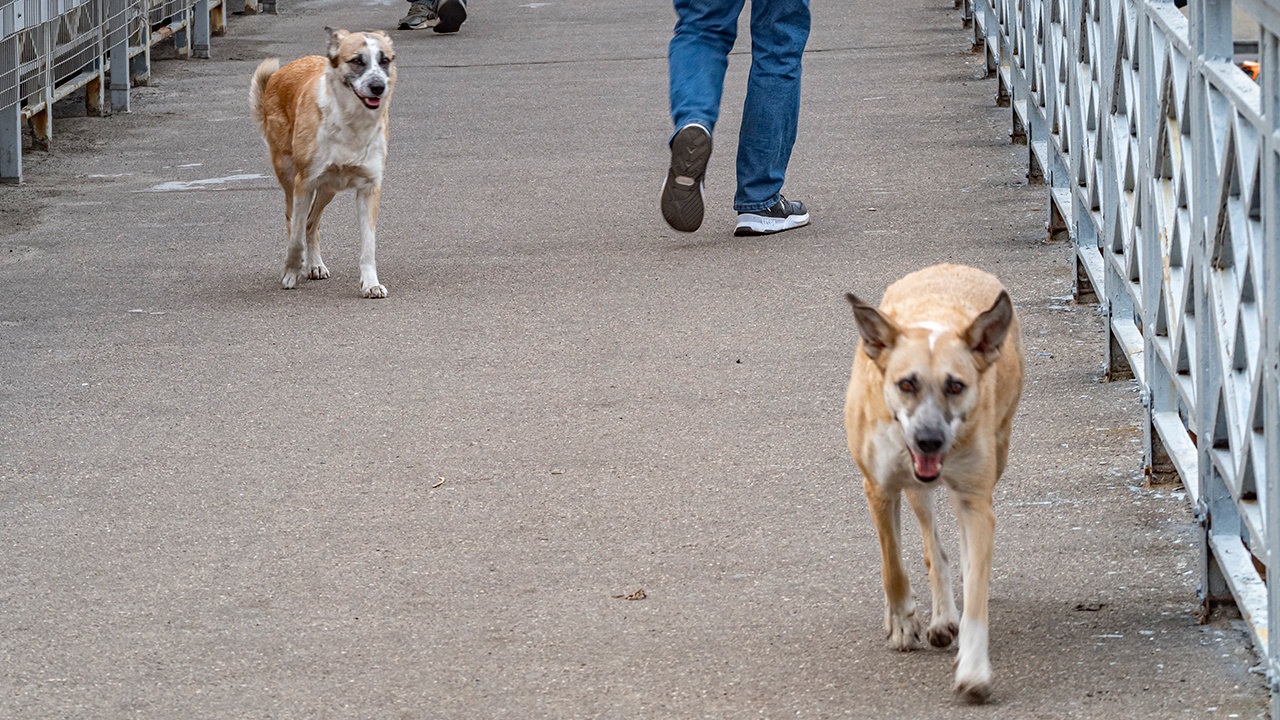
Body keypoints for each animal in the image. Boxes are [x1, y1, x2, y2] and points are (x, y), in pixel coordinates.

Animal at [247, 28, 391, 297]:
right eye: (357, 61)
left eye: (384, 60)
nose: (378, 87)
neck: (351, 123)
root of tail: (284, 70)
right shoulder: (303, 184)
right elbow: (295, 239)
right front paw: (291, 272)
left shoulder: (369, 188)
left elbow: (368, 245)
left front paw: (371, 283)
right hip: (290, 177)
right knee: (294, 222)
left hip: (328, 189)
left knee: (311, 224)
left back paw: (314, 265)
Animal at [844, 263, 1024, 702]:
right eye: (906, 384)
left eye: (955, 385)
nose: (928, 440)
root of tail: (951, 266)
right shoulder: (879, 488)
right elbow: (893, 564)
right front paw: (902, 621)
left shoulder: (976, 498)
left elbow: (976, 588)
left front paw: (974, 671)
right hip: (913, 490)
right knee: (930, 546)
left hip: (993, 458)